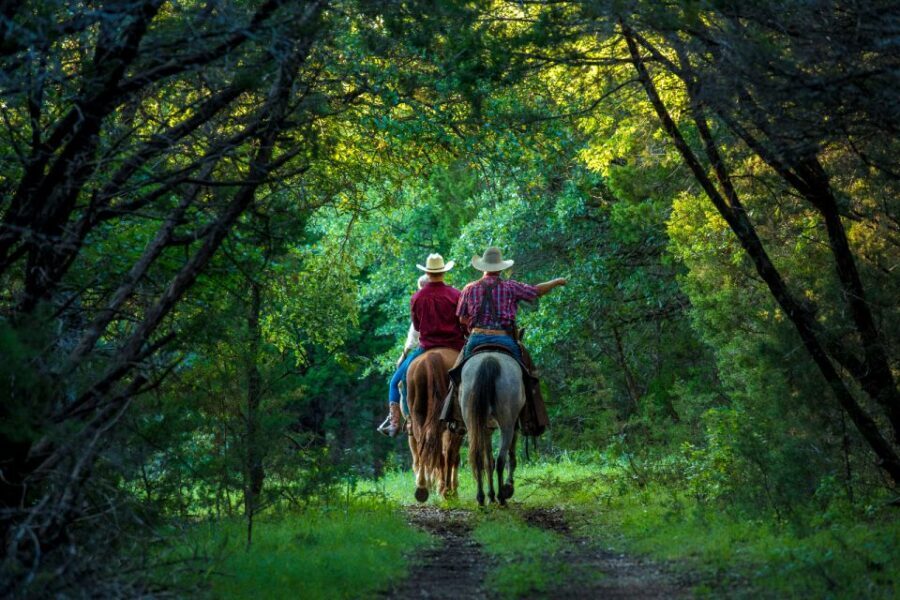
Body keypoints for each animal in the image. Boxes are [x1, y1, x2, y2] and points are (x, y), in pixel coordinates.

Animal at [406, 347, 460, 501]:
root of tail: (432, 358)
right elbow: (453, 456)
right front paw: (450, 490)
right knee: (446, 454)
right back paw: (445, 490)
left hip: (418, 414)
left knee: (423, 445)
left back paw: (422, 487)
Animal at [460, 351, 525, 506]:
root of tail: (489, 360)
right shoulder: (514, 426)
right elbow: (510, 457)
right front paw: (508, 486)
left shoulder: (486, 429)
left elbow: (488, 462)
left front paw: (491, 496)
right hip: (507, 425)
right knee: (501, 460)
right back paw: (502, 497)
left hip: (473, 425)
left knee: (478, 459)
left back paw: (481, 498)